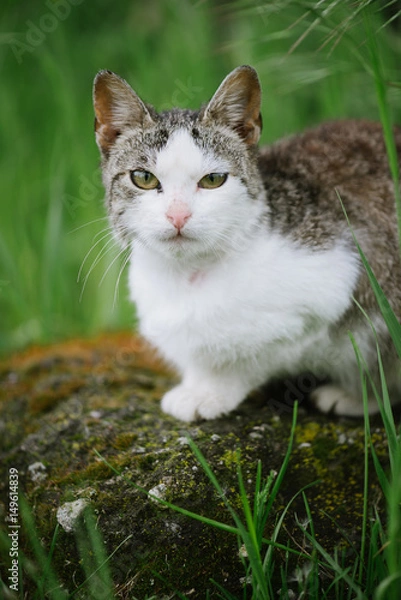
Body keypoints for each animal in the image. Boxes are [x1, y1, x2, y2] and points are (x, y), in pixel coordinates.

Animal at [91, 64, 400, 422]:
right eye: (143, 178)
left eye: (213, 180)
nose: (178, 215)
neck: (187, 275)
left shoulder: (336, 281)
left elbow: (247, 355)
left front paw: (209, 391)